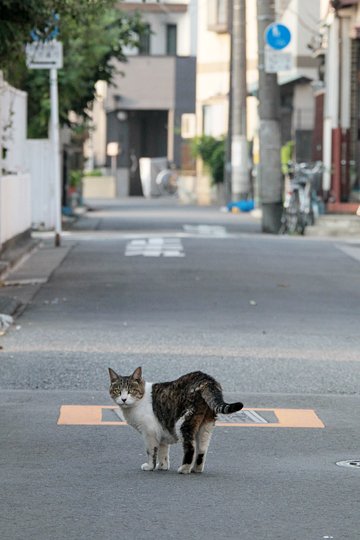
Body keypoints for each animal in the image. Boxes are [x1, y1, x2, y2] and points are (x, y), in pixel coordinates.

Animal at [107, 368, 242, 472]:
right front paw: (162, 466)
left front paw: (150, 466)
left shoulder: (149, 433)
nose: (123, 399)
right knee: (202, 450)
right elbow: (163, 451)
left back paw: (184, 469)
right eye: (117, 391)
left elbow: (151, 452)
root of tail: (207, 380)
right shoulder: (161, 430)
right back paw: (196, 469)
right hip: (206, 426)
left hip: (183, 423)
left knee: (191, 448)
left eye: (131, 391)